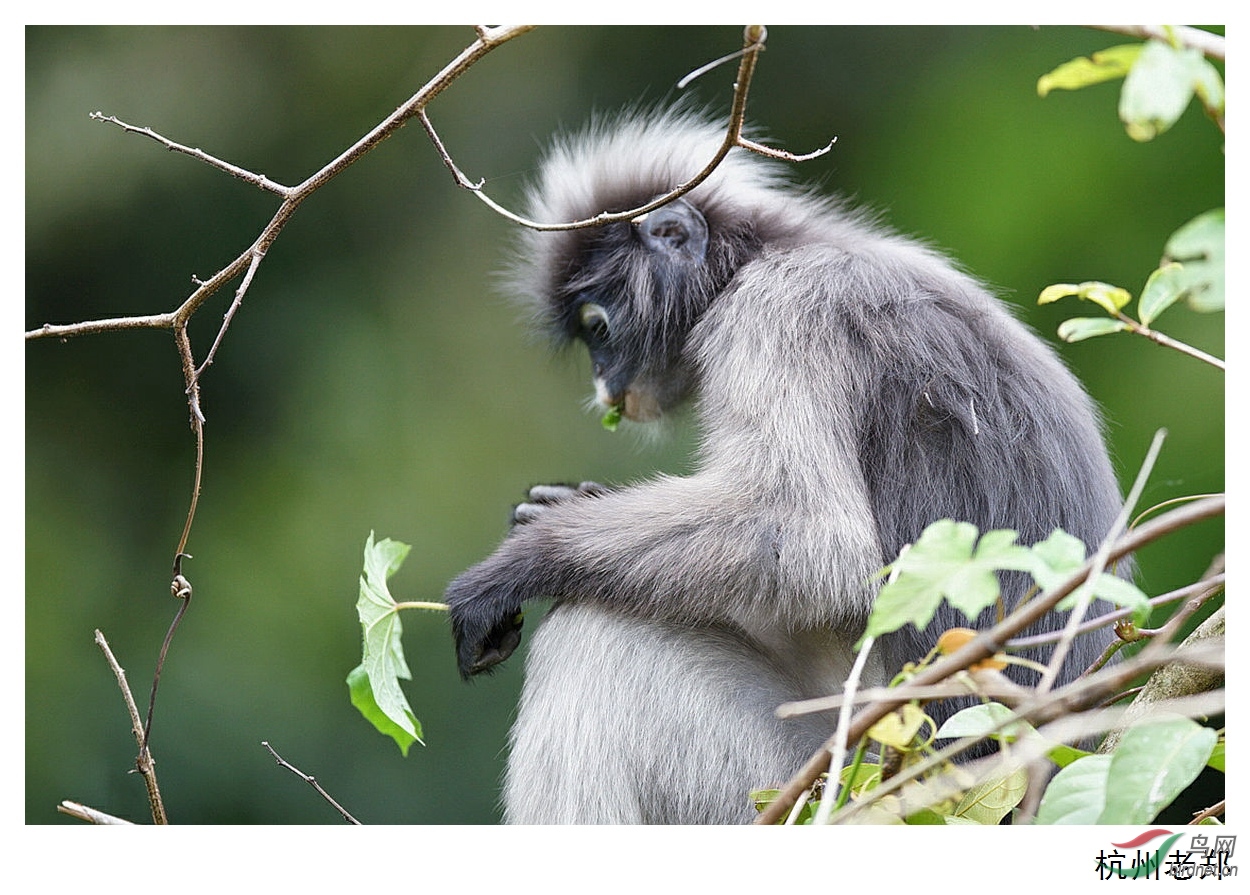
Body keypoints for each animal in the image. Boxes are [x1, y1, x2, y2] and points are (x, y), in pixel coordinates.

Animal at [445, 110, 1130, 825]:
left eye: (598, 328)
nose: (604, 388)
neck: (771, 251)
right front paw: (563, 503)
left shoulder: (778, 311)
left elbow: (815, 541)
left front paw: (523, 559)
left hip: (823, 780)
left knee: (595, 633)